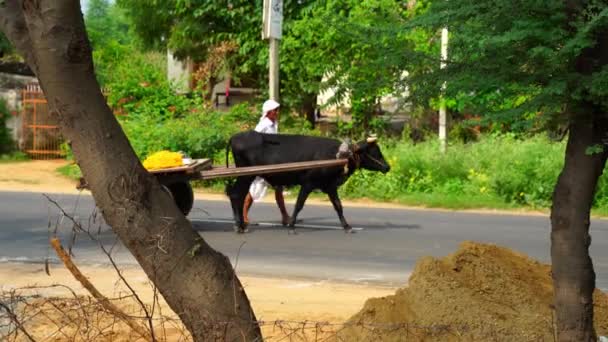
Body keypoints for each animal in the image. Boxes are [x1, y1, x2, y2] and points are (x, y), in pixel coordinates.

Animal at [223, 130, 390, 232]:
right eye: (374, 152)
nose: (387, 167)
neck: (337, 155)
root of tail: (235, 136)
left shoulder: (330, 186)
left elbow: (338, 206)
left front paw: (347, 226)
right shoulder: (308, 183)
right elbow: (299, 205)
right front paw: (291, 225)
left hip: (247, 176)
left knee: (238, 195)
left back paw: (241, 224)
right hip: (245, 175)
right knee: (236, 195)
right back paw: (239, 226)